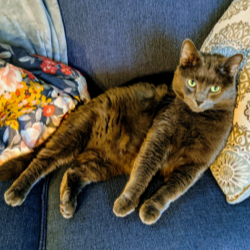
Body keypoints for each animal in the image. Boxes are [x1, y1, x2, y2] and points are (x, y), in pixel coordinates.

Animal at [0, 39, 242, 225]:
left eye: (215, 89)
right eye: (191, 82)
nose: (199, 100)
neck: (194, 119)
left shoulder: (195, 165)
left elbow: (171, 190)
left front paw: (150, 208)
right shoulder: (158, 136)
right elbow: (142, 172)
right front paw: (126, 202)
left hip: (104, 163)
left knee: (73, 171)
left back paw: (67, 203)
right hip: (75, 133)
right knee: (43, 161)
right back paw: (17, 191)